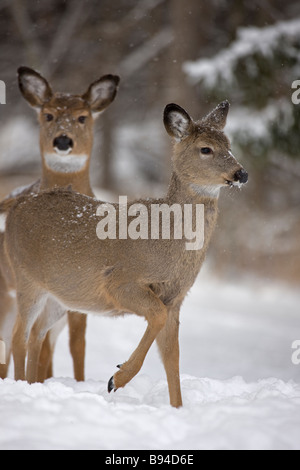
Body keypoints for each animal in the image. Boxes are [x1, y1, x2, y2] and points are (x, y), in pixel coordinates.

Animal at [0, 67, 119, 382]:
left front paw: (78, 382)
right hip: (10, 294)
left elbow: (77, 345)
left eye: (82, 117)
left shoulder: (78, 302)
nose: (63, 141)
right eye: (49, 115)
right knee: (13, 342)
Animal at [1, 100, 248, 408]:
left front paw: (177, 408)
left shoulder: (175, 300)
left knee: (36, 334)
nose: (241, 174)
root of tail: (16, 204)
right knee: (18, 336)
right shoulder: (120, 282)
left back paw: (35, 384)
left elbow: (172, 357)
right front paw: (116, 378)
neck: (166, 242)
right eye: (205, 148)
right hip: (25, 279)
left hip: (60, 296)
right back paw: (23, 385)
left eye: (229, 144)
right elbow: (156, 318)